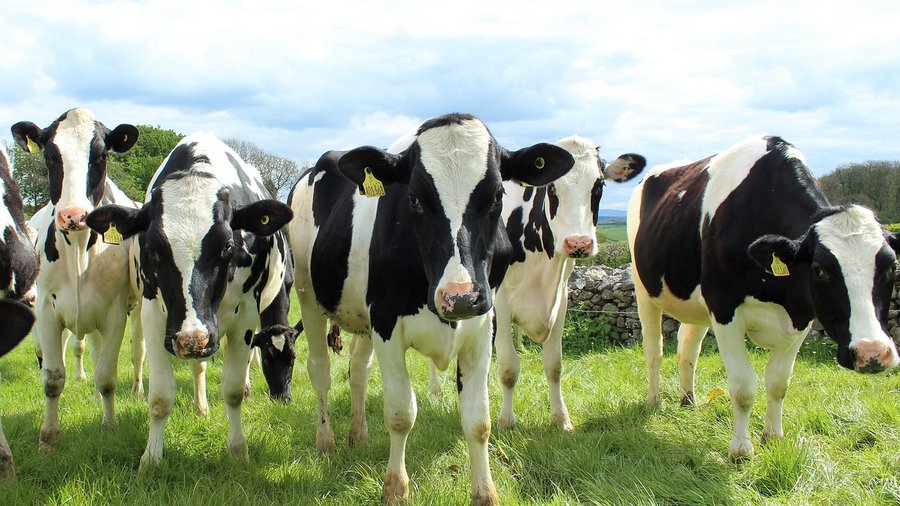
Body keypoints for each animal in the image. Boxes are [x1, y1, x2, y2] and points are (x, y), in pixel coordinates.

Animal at [11, 108, 142, 450]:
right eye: (50, 155)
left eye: (101, 155)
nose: (73, 215)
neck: (79, 251)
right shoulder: (45, 308)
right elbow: (53, 377)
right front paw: (48, 437)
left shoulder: (115, 312)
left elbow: (107, 376)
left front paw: (109, 424)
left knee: (136, 351)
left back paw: (134, 389)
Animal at [85, 132, 293, 468]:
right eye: (153, 248)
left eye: (227, 245)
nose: (191, 339)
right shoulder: (156, 316)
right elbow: (160, 396)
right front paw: (151, 457)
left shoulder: (246, 317)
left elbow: (233, 389)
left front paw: (238, 450)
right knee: (198, 366)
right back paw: (200, 406)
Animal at [288, 113, 575, 505]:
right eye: (414, 199)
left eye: (497, 196)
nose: (460, 297)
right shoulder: (386, 322)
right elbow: (400, 412)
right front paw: (395, 488)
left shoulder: (483, 325)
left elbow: (478, 420)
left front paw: (485, 492)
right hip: (308, 295)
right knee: (320, 370)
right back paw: (326, 442)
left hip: (360, 316)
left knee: (358, 370)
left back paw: (358, 435)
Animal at [492, 135, 645, 432]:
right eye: (551, 186)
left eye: (599, 185)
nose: (578, 243)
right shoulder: (500, 301)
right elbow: (508, 367)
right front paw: (506, 421)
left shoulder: (561, 299)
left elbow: (554, 364)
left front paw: (561, 419)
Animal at [627, 135, 900, 461]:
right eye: (819, 270)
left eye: (892, 266)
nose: (872, 353)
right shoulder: (724, 307)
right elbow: (743, 386)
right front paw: (741, 450)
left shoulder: (802, 315)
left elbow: (778, 382)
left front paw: (773, 437)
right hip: (644, 289)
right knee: (654, 350)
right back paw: (654, 401)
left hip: (696, 303)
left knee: (687, 347)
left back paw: (688, 400)